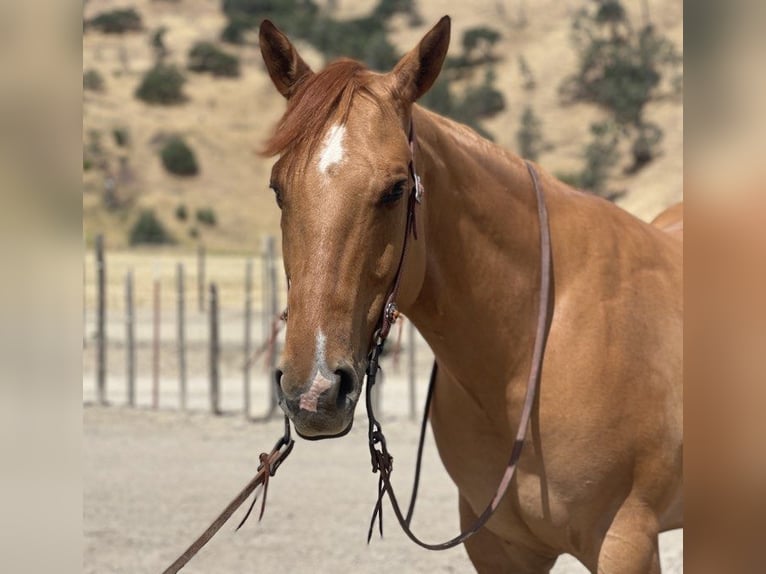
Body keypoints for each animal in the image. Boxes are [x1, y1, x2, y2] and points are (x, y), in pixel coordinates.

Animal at [256, 18, 684, 574]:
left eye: (396, 189)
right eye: (278, 188)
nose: (314, 392)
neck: (537, 344)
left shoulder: (627, 541)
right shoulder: (499, 546)